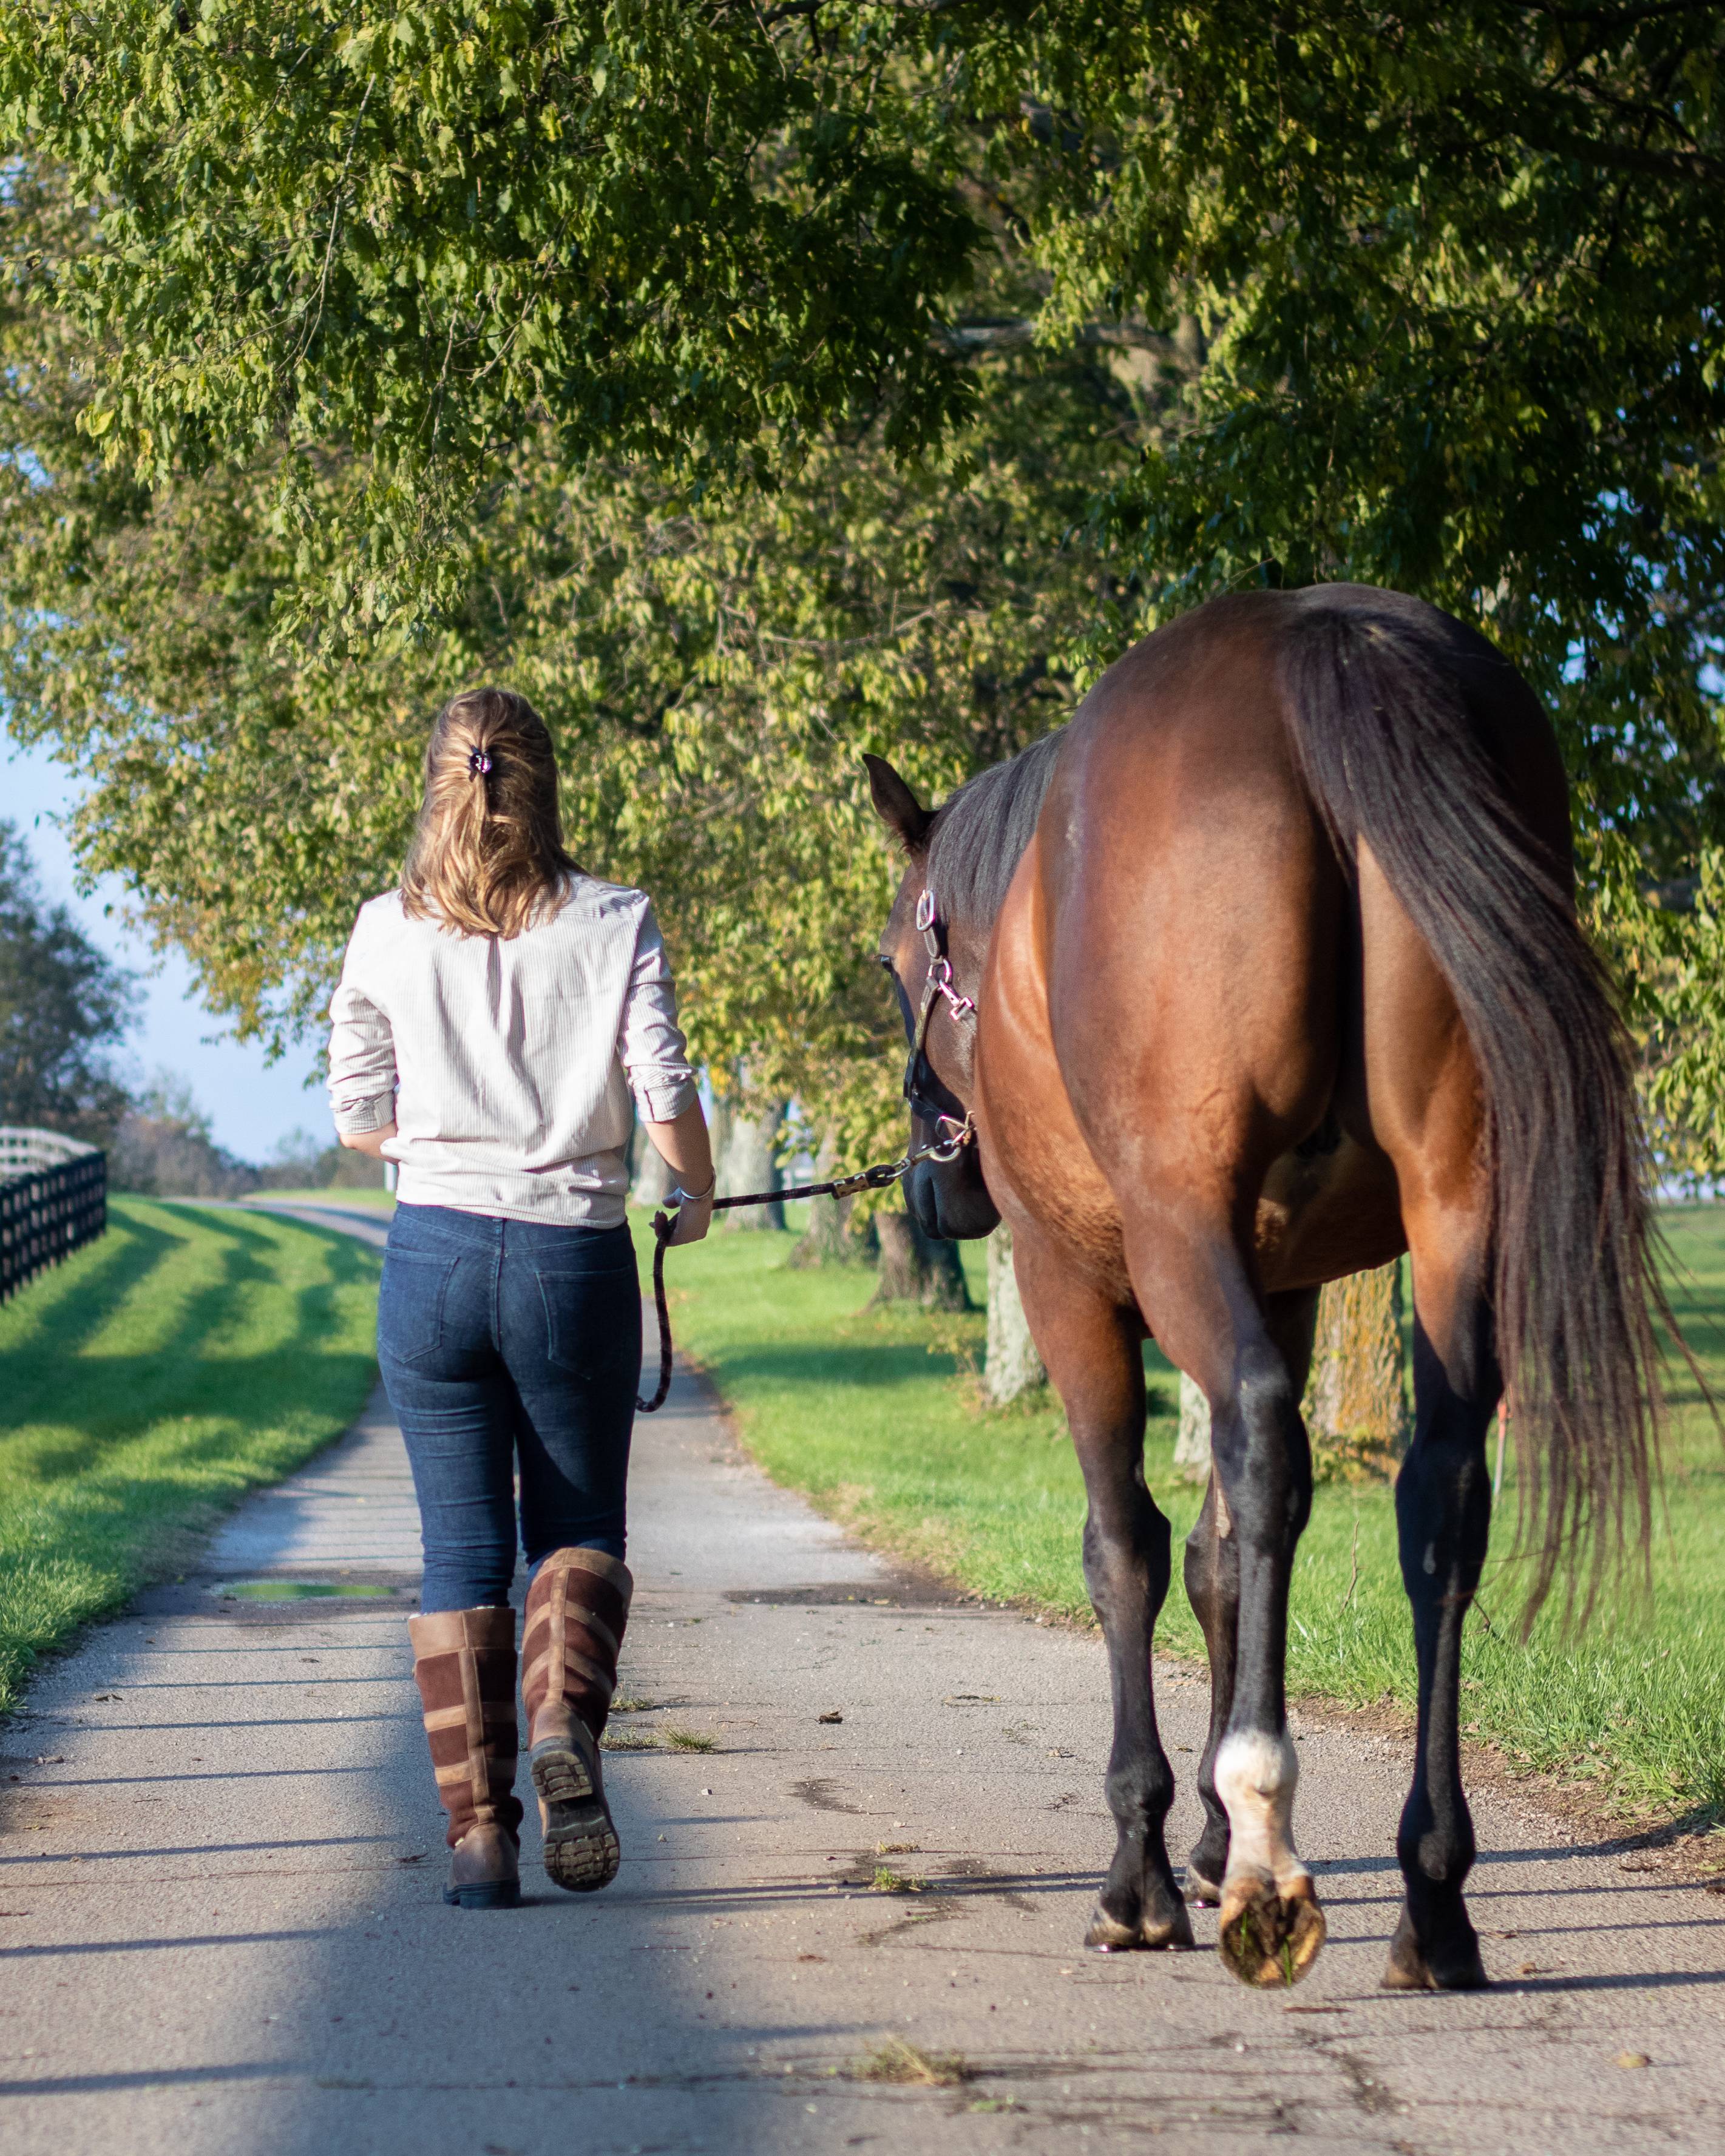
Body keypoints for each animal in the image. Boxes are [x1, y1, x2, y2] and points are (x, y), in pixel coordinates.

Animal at [871, 586, 1664, 1983]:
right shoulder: (1286, 1284)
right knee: (1438, 1496)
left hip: (1175, 1226)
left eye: (892, 965)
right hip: (1456, 1210)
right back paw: (1428, 1892)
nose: (935, 1189)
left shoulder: (1075, 1285)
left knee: (1248, 1443)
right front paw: (1196, 1835)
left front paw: (1147, 1864)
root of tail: (1324, 640)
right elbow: (1225, 1556)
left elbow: (1131, 1549)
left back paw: (1264, 1841)